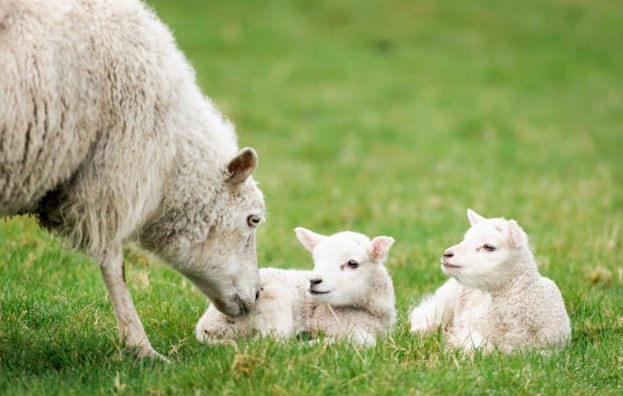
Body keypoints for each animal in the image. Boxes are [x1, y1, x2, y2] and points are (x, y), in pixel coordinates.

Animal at [0, 0, 266, 358]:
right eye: (253, 219)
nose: (258, 294)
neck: (170, 154)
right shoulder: (111, 176)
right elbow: (115, 266)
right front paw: (141, 347)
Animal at [197, 227, 398, 344]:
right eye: (316, 260)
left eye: (352, 263)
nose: (314, 281)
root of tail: (206, 326)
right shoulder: (330, 321)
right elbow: (365, 341)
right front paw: (326, 341)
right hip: (274, 304)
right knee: (269, 343)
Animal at [410, 209, 572, 354]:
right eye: (465, 238)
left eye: (489, 247)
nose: (447, 254)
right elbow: (484, 348)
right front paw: (450, 339)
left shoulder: (551, 349)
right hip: (444, 302)